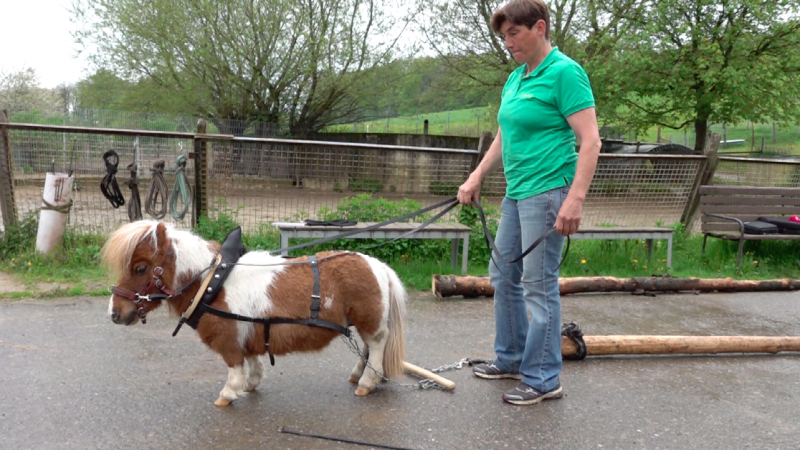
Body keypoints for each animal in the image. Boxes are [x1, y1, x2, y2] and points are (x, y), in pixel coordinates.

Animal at [101, 220, 406, 406]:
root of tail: (377, 265)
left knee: (376, 346)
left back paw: (366, 382)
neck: (212, 281)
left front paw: (229, 392)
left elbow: (234, 364)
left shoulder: (228, 337)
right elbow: (251, 357)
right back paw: (358, 374)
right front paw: (251, 382)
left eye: (141, 268)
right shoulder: (248, 330)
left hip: (370, 323)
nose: (115, 312)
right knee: (367, 348)